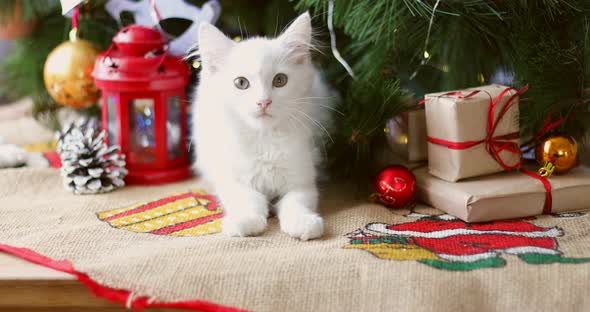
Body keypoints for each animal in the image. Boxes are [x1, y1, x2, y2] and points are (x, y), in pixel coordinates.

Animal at [193, 12, 336, 241]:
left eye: (280, 80)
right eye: (241, 83)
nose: (263, 102)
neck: (264, 138)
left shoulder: (302, 180)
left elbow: (296, 202)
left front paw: (304, 223)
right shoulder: (232, 179)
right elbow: (249, 199)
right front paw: (245, 221)